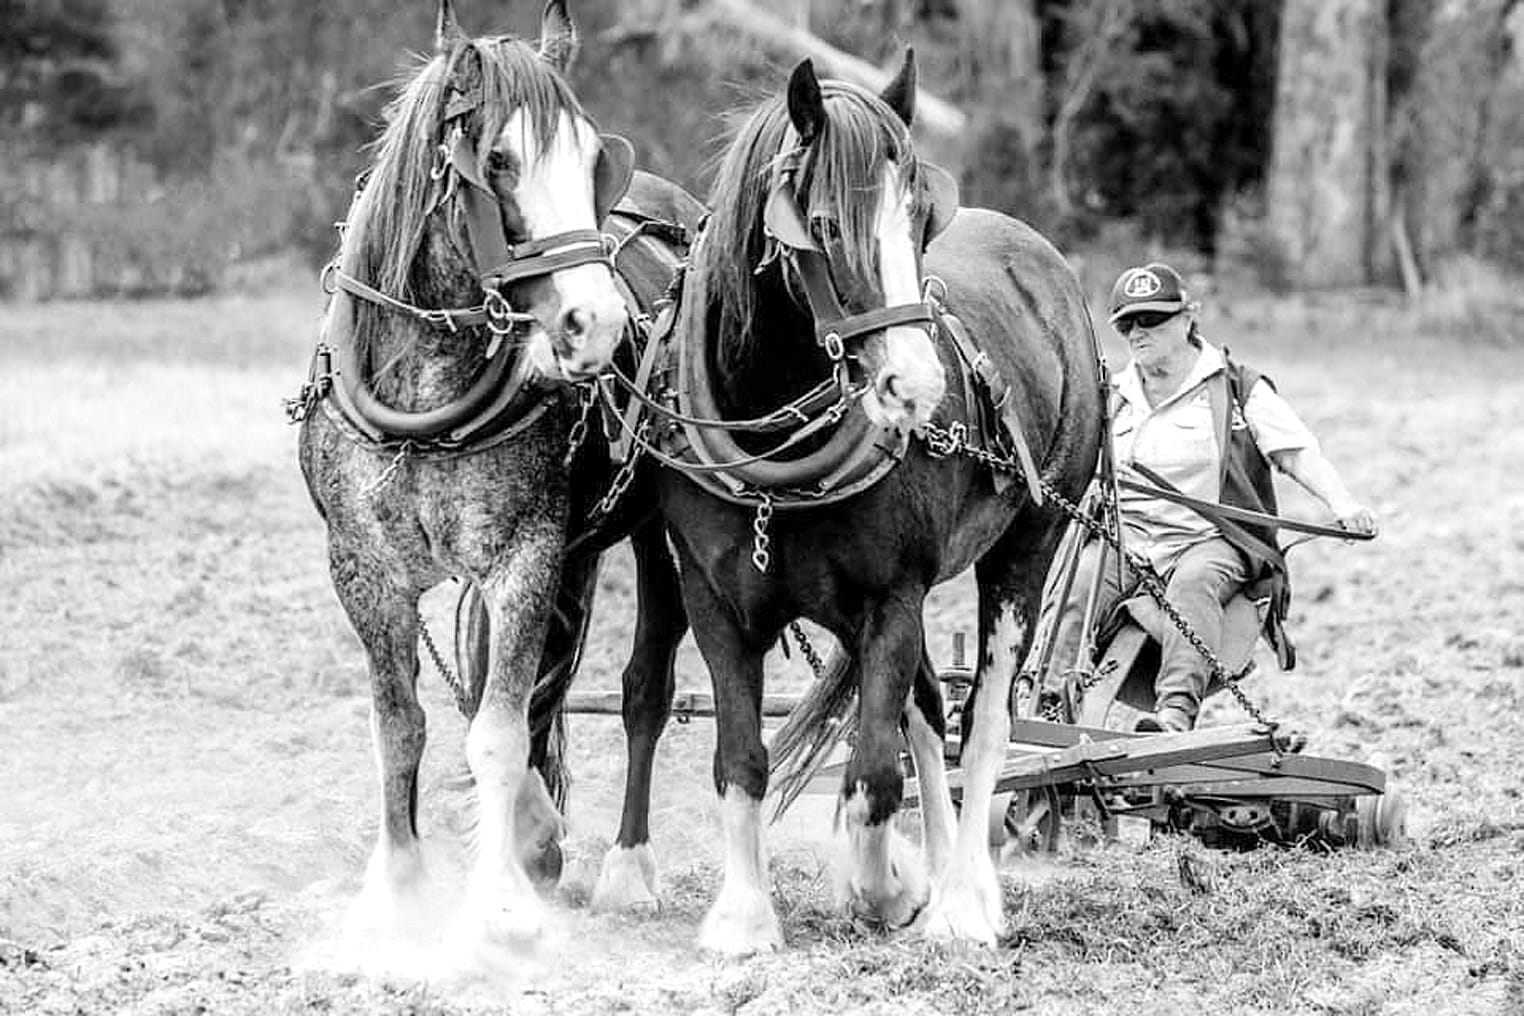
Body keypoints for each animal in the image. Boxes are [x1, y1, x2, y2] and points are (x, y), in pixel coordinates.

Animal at [295, 0, 656, 948]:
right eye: (496, 161)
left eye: (593, 158)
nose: (598, 324)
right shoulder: (364, 571)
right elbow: (401, 726)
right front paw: (396, 895)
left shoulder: (526, 556)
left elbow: (495, 732)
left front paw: (499, 904)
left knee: (641, 691)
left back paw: (610, 866)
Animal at [641, 53, 1103, 952]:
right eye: (821, 225)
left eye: (920, 221)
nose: (915, 386)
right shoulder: (715, 602)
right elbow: (742, 760)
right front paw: (744, 917)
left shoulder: (893, 596)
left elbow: (871, 775)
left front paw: (886, 890)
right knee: (926, 707)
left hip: (1030, 543)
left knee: (982, 722)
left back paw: (965, 898)